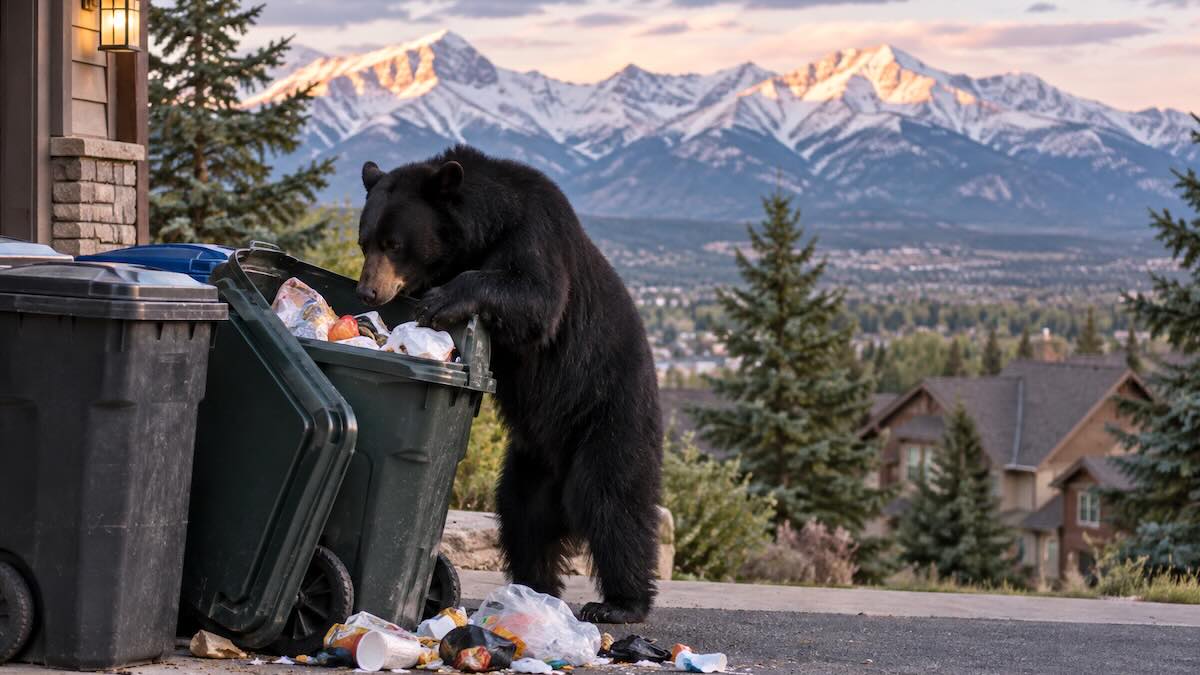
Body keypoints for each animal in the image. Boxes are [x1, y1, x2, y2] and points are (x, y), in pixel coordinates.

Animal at [355, 145, 663, 624]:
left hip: (610, 419)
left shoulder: (535, 233)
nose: (368, 291)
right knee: (522, 516)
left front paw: (442, 301)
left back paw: (618, 603)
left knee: (614, 504)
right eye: (364, 241)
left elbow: (537, 297)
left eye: (394, 244)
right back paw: (534, 587)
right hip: (531, 463)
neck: (486, 228)